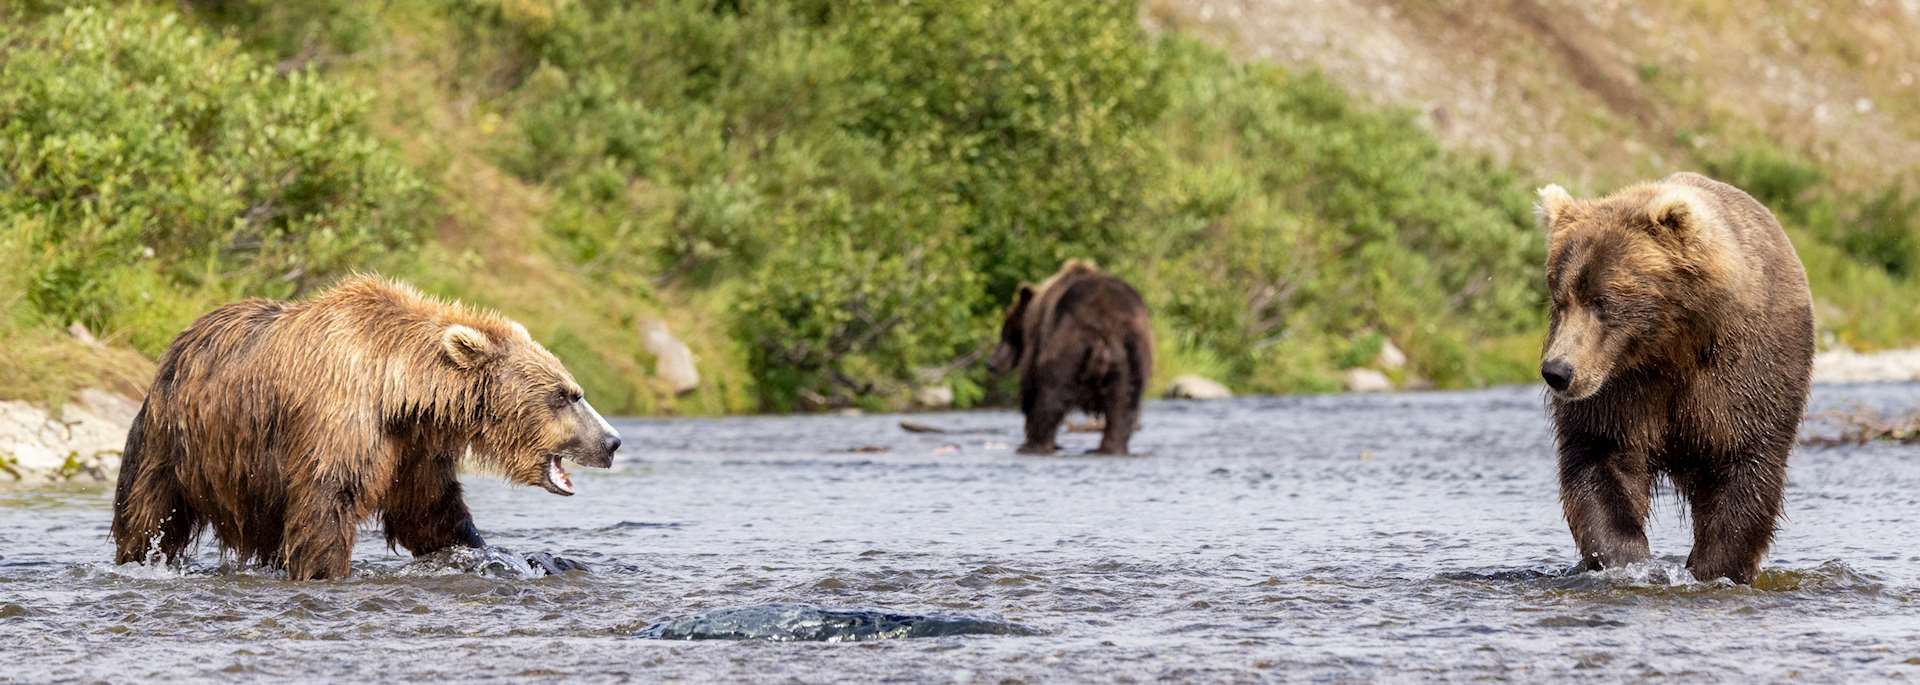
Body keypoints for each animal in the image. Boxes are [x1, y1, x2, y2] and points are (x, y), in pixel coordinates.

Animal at [110, 275, 622, 580]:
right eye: (566, 394)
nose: (612, 440)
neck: (400, 393)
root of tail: (179, 341)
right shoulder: (341, 421)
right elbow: (326, 505)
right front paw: (326, 571)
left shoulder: (412, 449)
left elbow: (432, 512)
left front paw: (500, 554)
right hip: (174, 441)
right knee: (148, 513)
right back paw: (139, 557)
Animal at [989, 260, 1154, 455]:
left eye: (1006, 332)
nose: (991, 363)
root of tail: (1105, 326)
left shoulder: (1037, 340)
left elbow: (1030, 384)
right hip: (1133, 350)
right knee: (1125, 402)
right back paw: (1109, 448)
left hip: (1066, 346)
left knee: (1051, 392)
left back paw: (1033, 446)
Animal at [1536, 172, 1813, 584]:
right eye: (1560, 298)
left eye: (1603, 301)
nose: (1558, 371)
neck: (1667, 347)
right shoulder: (1619, 391)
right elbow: (1599, 463)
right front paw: (1625, 560)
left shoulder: (1740, 375)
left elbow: (1743, 467)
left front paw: (1716, 568)